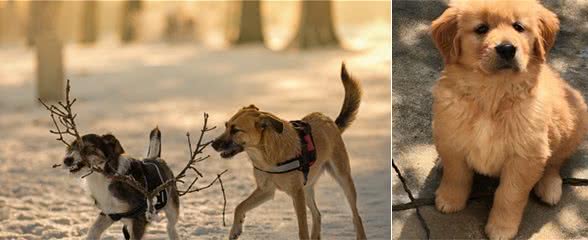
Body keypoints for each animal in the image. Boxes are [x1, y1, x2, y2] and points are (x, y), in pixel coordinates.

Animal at [211, 63, 368, 240]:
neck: (267, 156)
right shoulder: (266, 190)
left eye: (235, 130)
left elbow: (302, 230)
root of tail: (329, 121)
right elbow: (240, 206)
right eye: (226, 126)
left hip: (342, 178)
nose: (213, 144)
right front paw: (235, 229)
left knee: (356, 215)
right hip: (307, 187)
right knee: (317, 214)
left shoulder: (296, 193)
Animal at [430, 0, 584, 239]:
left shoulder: (526, 156)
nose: (506, 48)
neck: (492, 93)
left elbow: (509, 195)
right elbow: (456, 175)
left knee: (555, 162)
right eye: (481, 28)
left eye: (518, 27)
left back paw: (549, 187)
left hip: (572, 123)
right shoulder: (451, 136)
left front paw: (502, 228)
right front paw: (450, 199)